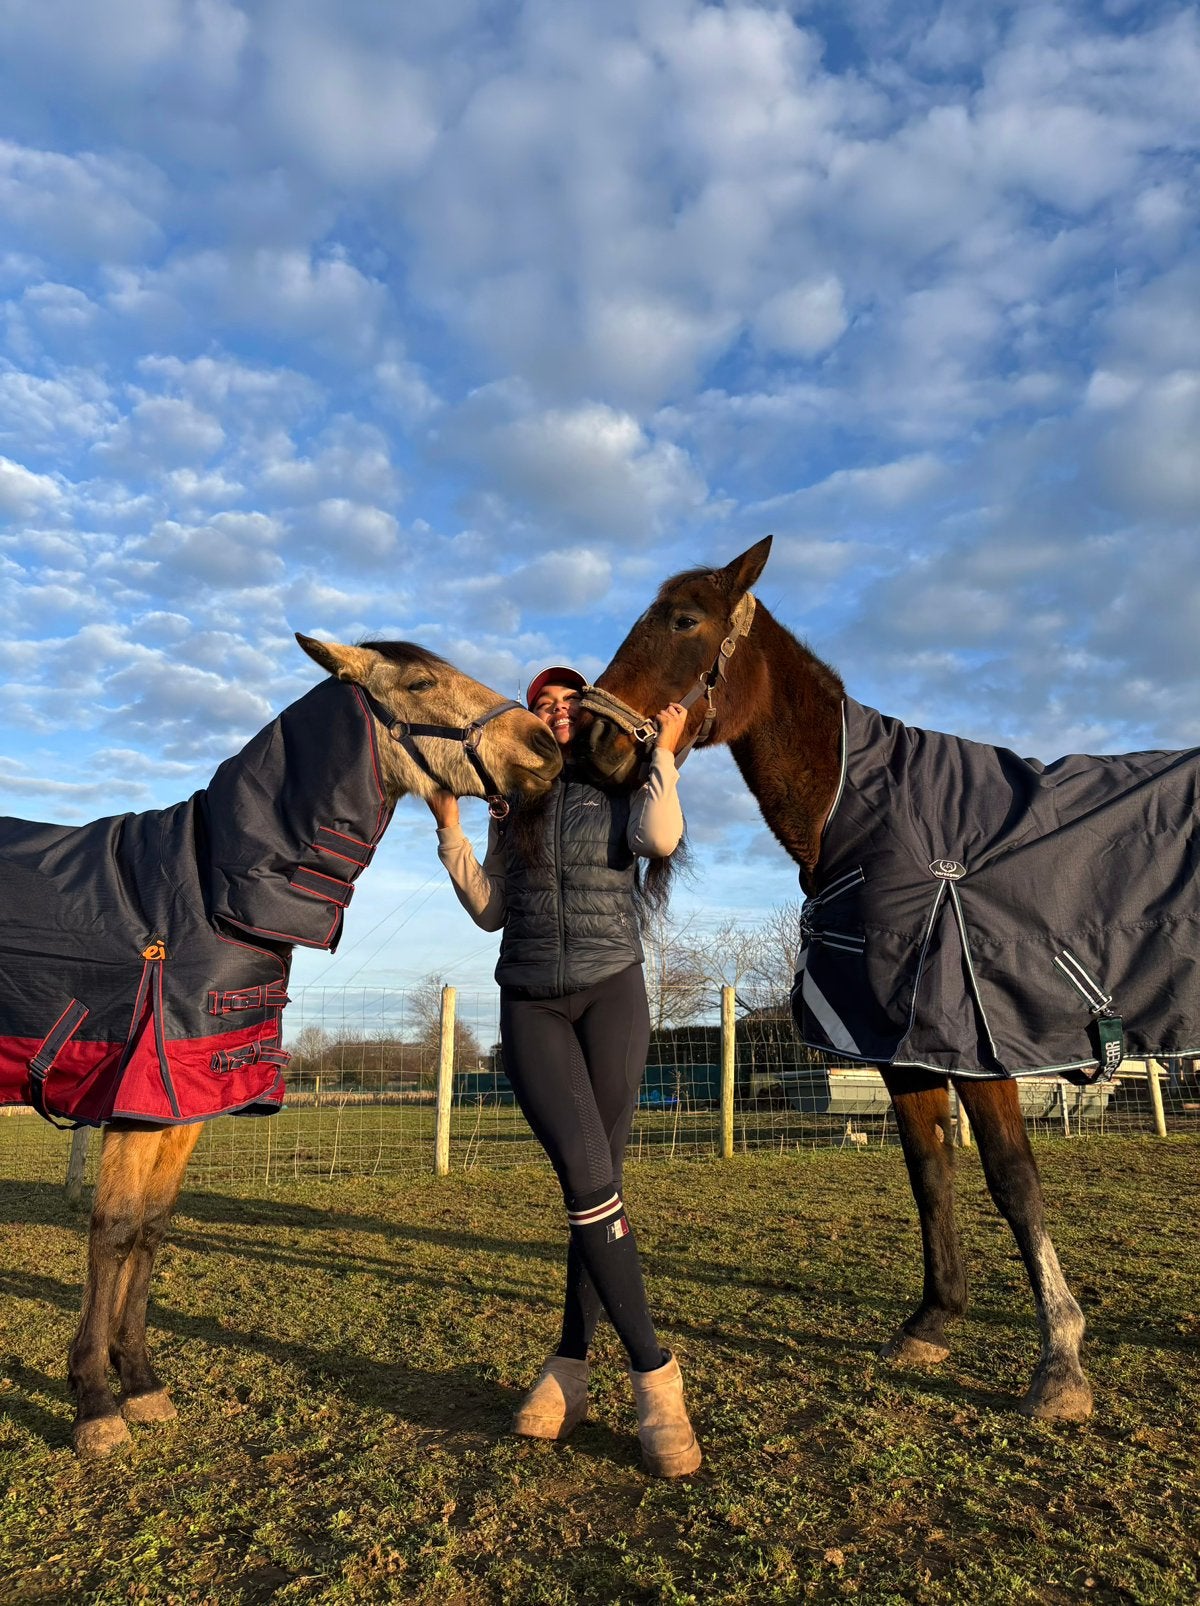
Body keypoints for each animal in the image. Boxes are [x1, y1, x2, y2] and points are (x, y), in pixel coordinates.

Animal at [1, 634, 561, 1455]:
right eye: (421, 683)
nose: (547, 744)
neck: (203, 887)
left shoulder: (190, 1100)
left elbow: (153, 1228)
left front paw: (142, 1386)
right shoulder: (142, 1097)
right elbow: (115, 1230)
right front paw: (96, 1406)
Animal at [581, 535, 1200, 1421]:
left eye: (685, 619)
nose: (592, 745)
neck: (871, 814)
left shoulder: (977, 1040)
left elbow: (1014, 1181)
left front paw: (1060, 1364)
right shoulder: (903, 1049)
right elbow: (929, 1173)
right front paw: (932, 1323)